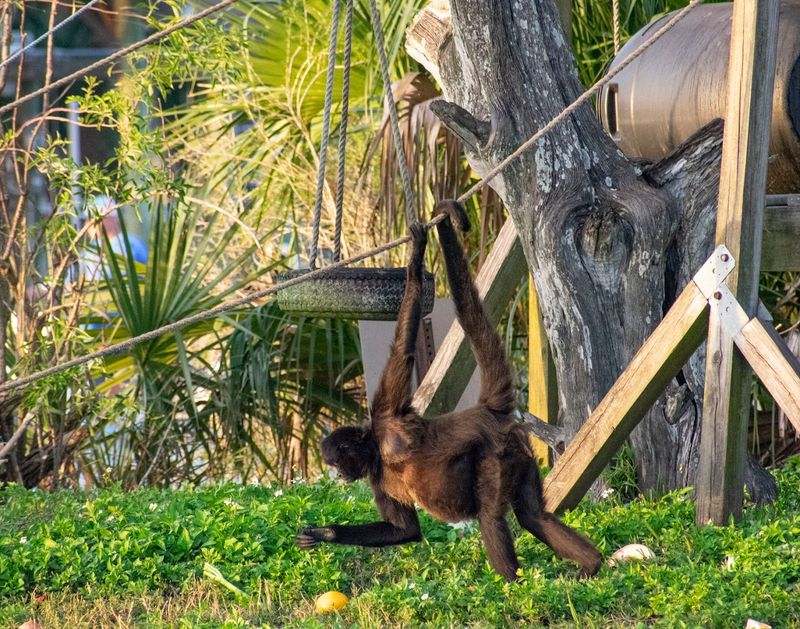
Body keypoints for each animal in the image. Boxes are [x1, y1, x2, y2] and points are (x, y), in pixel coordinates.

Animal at [297, 200, 602, 581]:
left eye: (336, 462)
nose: (339, 476)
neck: (378, 451)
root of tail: (488, 411)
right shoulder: (376, 478)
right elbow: (404, 531)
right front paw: (325, 533)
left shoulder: (387, 414)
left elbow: (403, 349)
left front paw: (415, 258)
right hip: (520, 454)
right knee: (534, 515)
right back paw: (592, 564)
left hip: (494, 455)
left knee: (491, 515)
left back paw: (510, 585)